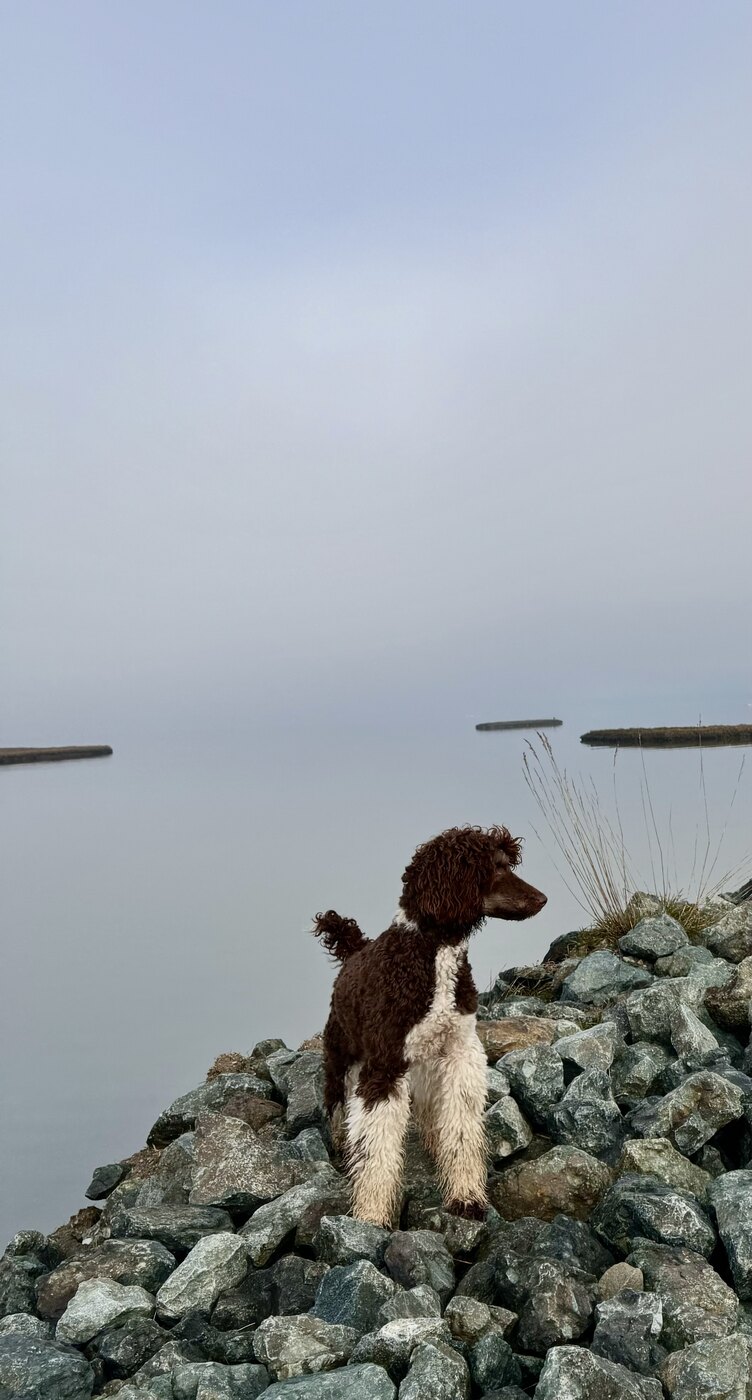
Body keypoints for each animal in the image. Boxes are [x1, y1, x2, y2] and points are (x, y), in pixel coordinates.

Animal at [313, 824, 546, 1226]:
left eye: (505, 863)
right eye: (496, 867)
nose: (542, 899)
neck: (433, 956)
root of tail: (354, 950)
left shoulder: (459, 1053)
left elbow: (461, 1128)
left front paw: (466, 1197)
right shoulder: (384, 1067)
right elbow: (376, 1148)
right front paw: (372, 1215)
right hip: (341, 1057)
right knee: (339, 1107)